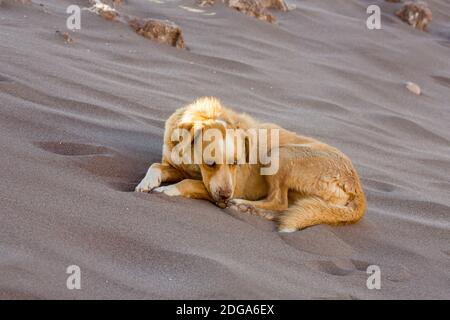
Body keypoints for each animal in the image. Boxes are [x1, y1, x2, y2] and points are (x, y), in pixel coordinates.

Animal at [136, 96, 366, 231]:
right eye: (210, 163)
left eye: (235, 163)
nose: (225, 198)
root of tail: (357, 186)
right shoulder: (176, 164)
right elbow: (156, 166)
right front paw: (146, 183)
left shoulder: (229, 185)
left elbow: (189, 183)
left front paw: (168, 190)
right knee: (283, 207)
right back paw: (253, 210)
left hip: (280, 155)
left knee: (279, 201)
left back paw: (244, 205)